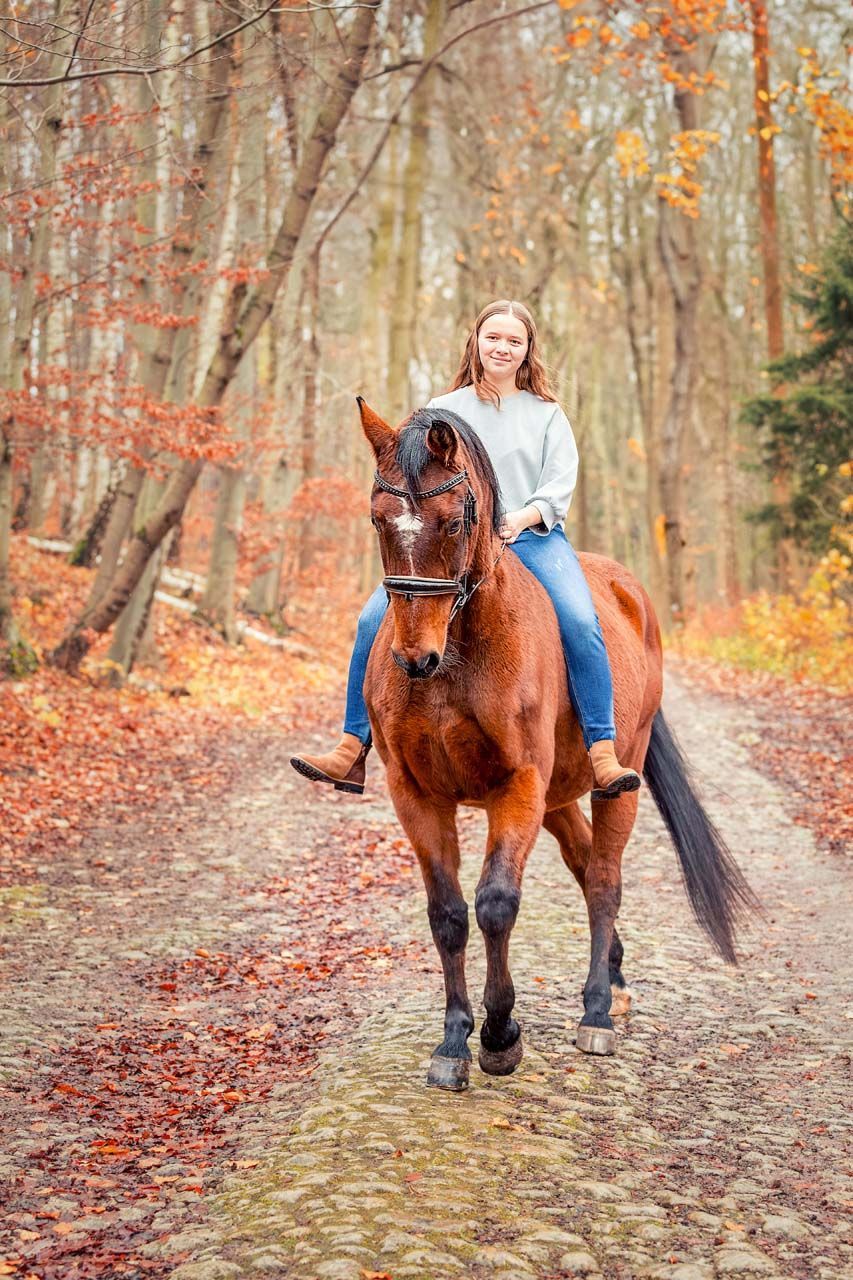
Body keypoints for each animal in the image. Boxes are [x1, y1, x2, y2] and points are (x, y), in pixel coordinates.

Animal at [358, 398, 758, 1092]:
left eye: (451, 521)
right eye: (379, 519)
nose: (415, 659)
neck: (457, 657)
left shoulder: (515, 784)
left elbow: (496, 903)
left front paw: (500, 1036)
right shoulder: (414, 793)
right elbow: (448, 914)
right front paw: (453, 1042)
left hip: (613, 779)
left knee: (602, 878)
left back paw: (597, 1010)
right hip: (556, 797)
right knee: (581, 859)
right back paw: (615, 980)